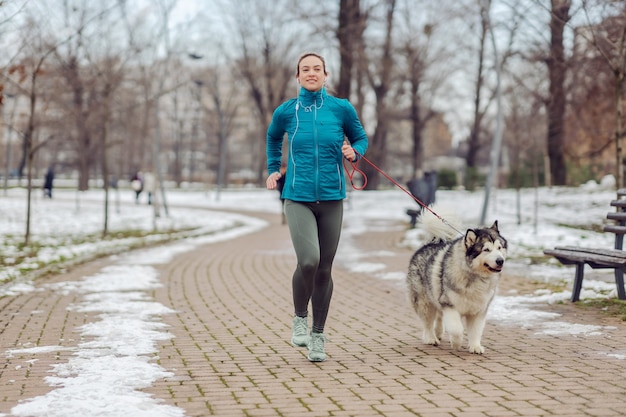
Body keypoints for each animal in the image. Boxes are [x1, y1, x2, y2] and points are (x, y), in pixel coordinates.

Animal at [408, 206, 504, 352]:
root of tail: (430, 243)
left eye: (499, 248)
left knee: (439, 316)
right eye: (486, 250)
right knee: (428, 322)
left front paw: (475, 346)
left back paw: (438, 332)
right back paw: (430, 338)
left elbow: (476, 330)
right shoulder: (449, 305)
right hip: (425, 302)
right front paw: (456, 343)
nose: (500, 261)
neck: (474, 276)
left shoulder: (479, 310)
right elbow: (457, 329)